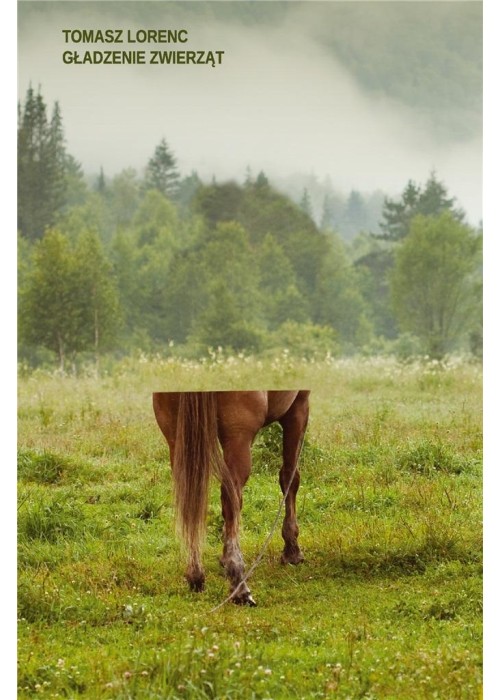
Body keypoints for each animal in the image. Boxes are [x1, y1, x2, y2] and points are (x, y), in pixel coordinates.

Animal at [152, 392, 308, 604]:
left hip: (177, 439)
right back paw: (239, 584)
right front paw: (292, 551)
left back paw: (196, 575)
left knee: (190, 507)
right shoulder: (298, 407)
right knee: (231, 499)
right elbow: (290, 477)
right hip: (237, 440)